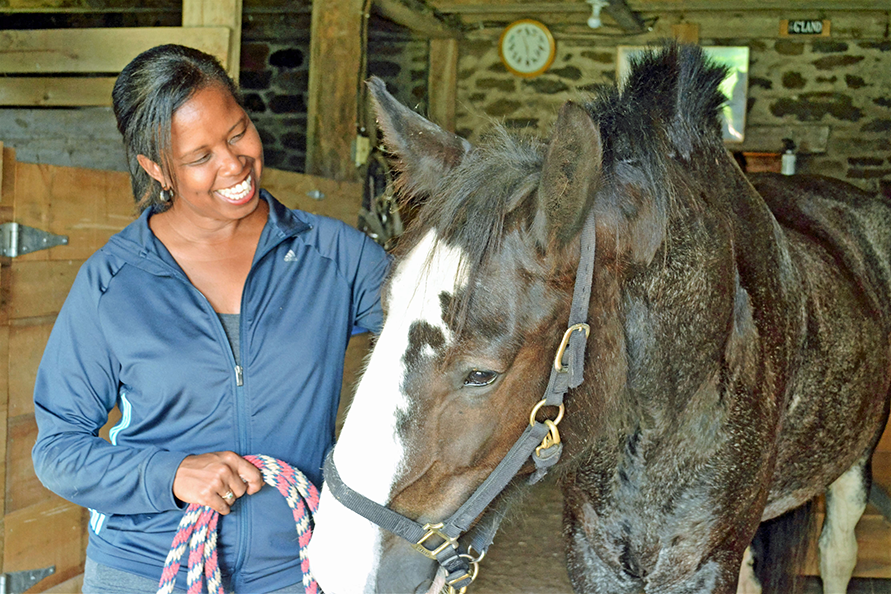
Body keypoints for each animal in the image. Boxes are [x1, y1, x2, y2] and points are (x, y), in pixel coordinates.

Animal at [307, 44, 891, 594]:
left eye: (481, 374)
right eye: (379, 325)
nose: (335, 563)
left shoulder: (701, 565)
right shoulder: (594, 555)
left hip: (853, 468)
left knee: (838, 552)